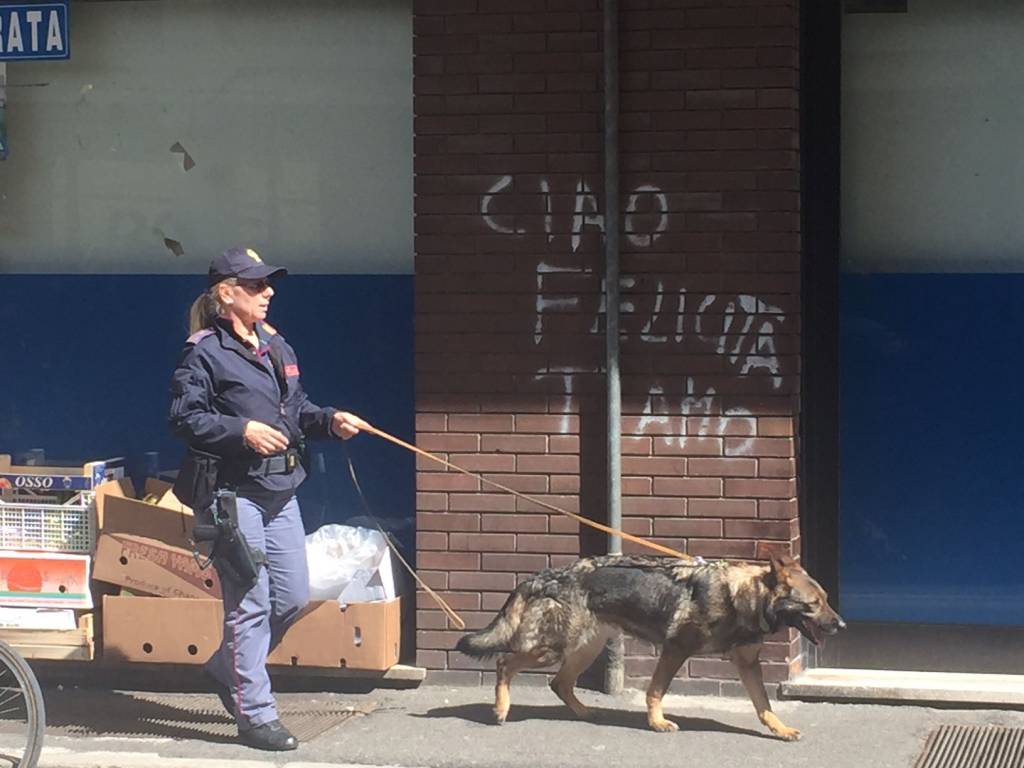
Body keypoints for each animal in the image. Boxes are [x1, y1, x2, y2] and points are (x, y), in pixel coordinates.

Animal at [456, 557, 839, 741]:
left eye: (826, 600)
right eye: (814, 604)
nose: (842, 625)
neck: (742, 595)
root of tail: (543, 576)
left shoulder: (748, 665)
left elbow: (764, 705)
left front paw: (780, 729)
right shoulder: (674, 651)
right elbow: (656, 691)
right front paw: (656, 723)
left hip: (585, 648)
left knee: (559, 683)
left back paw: (584, 713)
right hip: (551, 648)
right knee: (504, 662)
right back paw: (501, 708)